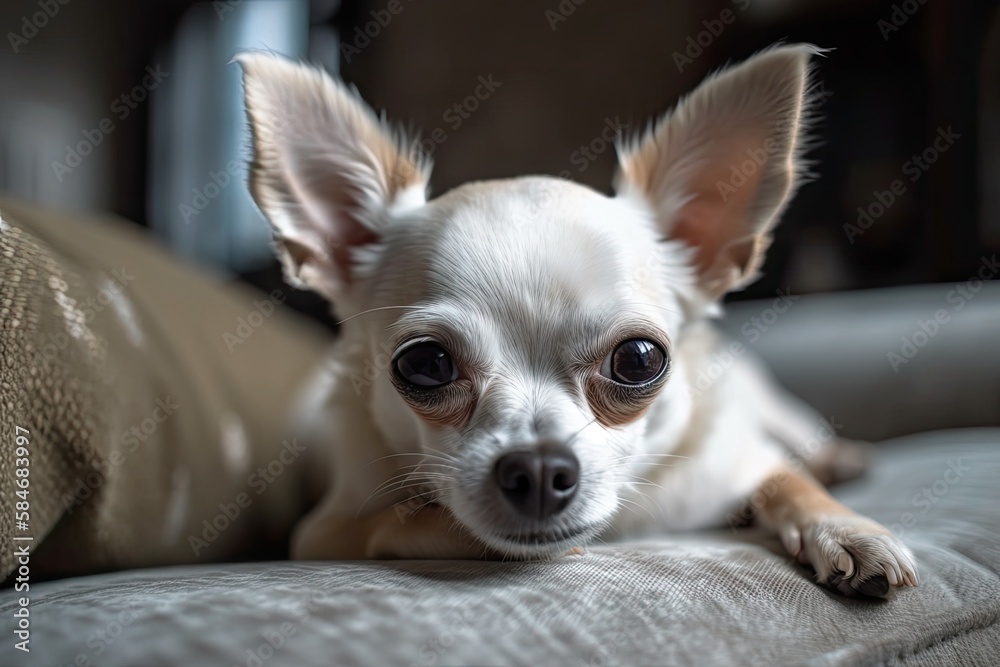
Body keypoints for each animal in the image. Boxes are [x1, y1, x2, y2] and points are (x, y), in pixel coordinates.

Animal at [238, 47, 916, 600]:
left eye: (639, 360)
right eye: (425, 364)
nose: (538, 468)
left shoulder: (736, 459)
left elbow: (786, 481)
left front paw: (850, 531)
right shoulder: (322, 531)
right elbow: (403, 518)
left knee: (803, 446)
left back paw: (839, 461)